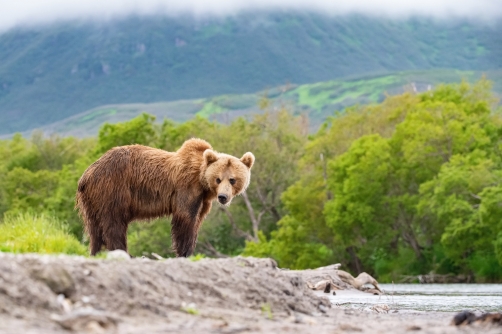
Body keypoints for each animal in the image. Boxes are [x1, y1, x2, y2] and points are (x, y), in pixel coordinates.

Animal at [74, 137, 255, 258]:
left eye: (232, 179)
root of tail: (87, 174)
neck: (202, 182)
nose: (223, 197)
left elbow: (197, 221)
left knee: (94, 229)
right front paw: (184, 252)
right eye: (218, 179)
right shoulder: (187, 188)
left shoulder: (203, 201)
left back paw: (96, 251)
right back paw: (123, 252)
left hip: (91, 201)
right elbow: (185, 219)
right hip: (113, 189)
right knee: (114, 223)